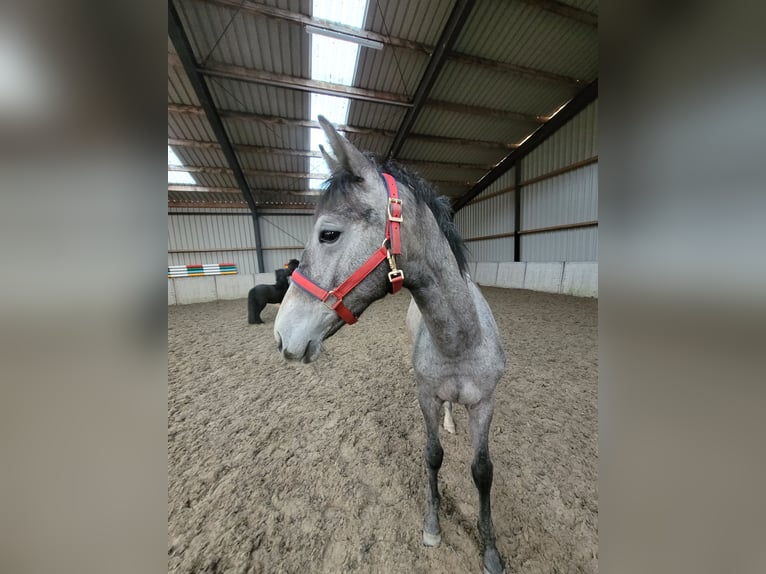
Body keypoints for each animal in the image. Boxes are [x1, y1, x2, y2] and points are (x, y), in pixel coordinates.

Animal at [272, 117, 508, 574]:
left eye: (329, 234)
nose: (280, 335)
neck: (460, 341)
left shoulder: (485, 403)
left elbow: (483, 471)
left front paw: (490, 550)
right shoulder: (426, 396)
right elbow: (432, 456)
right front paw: (433, 527)